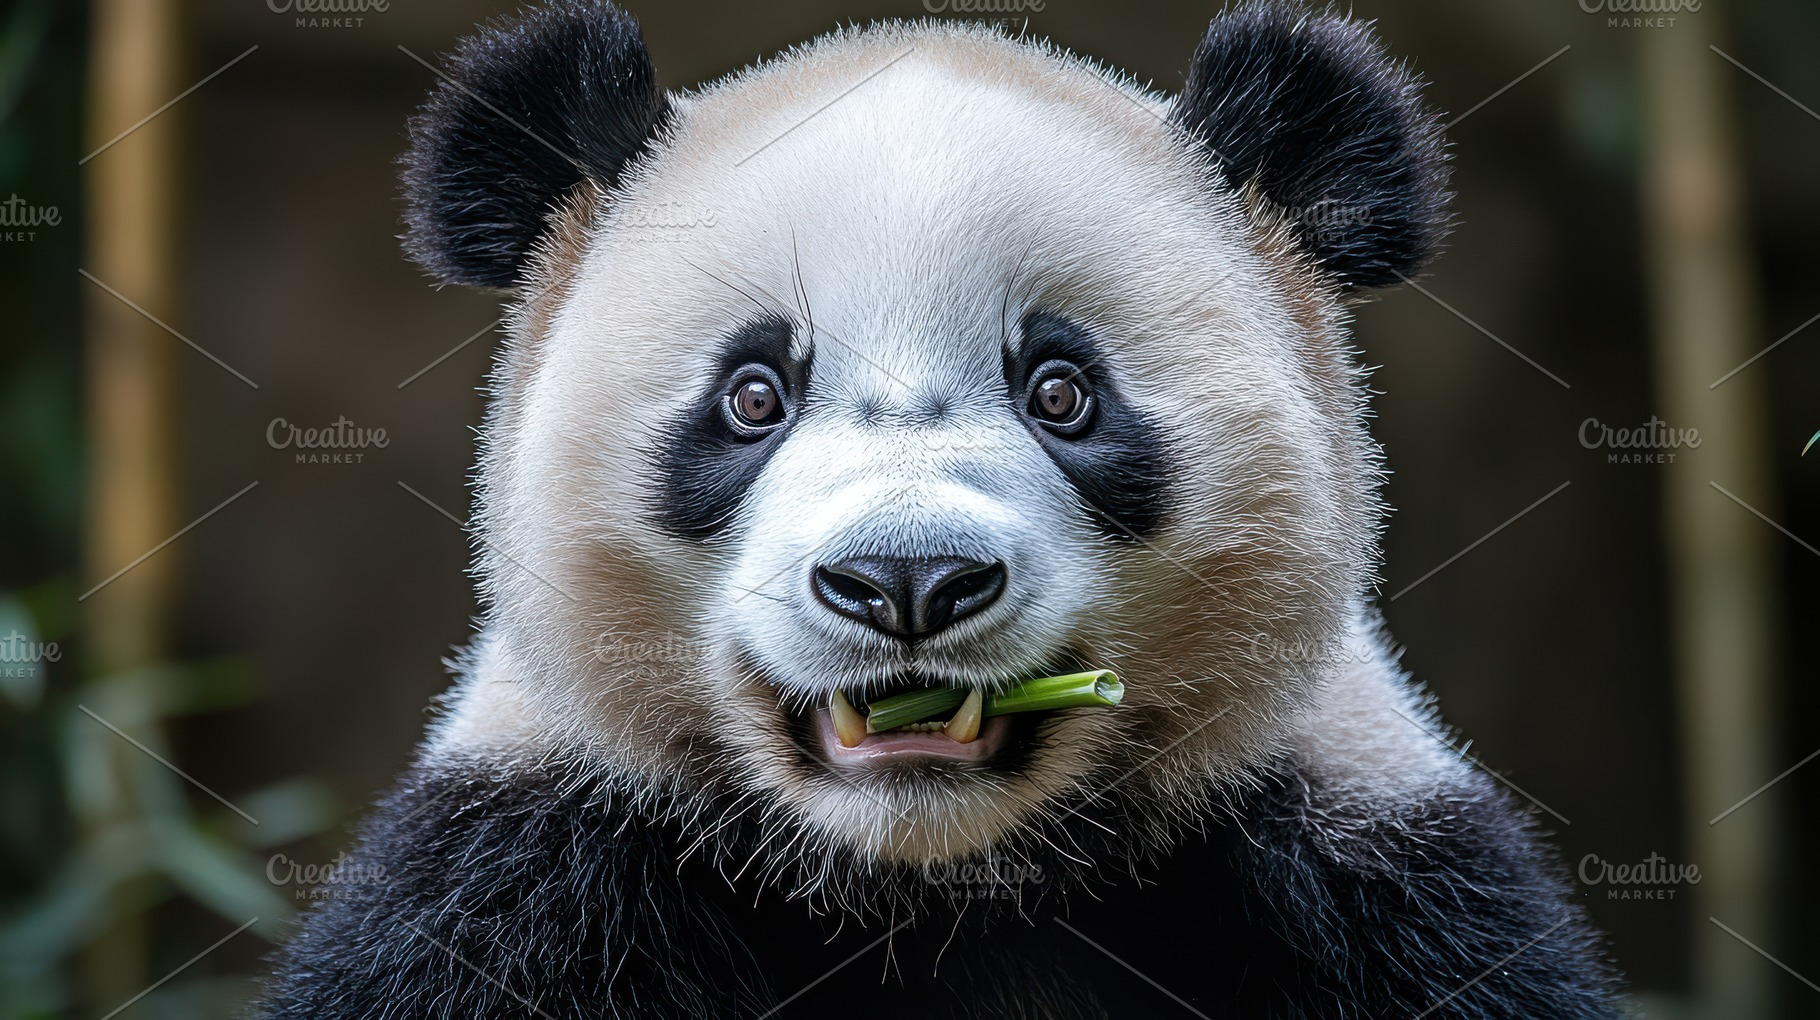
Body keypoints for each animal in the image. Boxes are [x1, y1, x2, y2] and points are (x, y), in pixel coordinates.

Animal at [261, 1, 1623, 1017]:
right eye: (753, 396)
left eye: (1061, 391)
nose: (906, 581)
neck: (927, 889)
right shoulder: (522, 871)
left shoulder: (1366, 865)